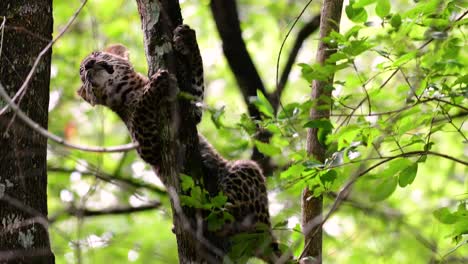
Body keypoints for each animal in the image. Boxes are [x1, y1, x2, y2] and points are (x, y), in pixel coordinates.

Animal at [78, 24, 284, 262]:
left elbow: (195, 83)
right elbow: (141, 111)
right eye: (81, 73)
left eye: (95, 54)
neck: (128, 91)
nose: (88, 65)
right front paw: (156, 84)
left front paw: (187, 39)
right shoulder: (146, 145)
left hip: (244, 177)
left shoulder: (190, 109)